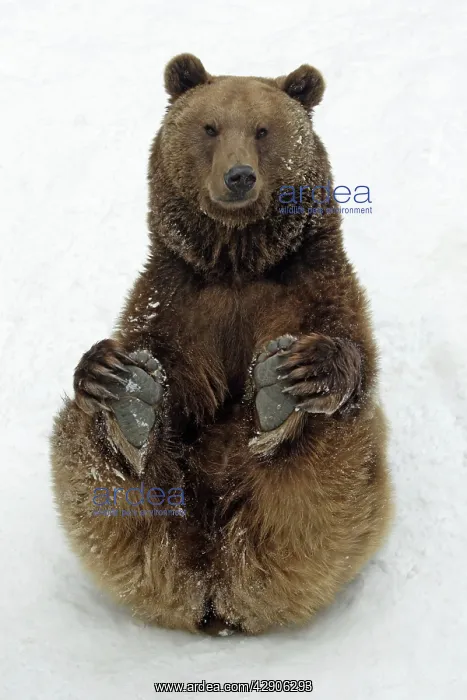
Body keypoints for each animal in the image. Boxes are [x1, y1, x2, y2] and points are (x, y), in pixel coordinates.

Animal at [50, 53, 393, 635]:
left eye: (263, 130)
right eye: (209, 127)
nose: (239, 176)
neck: (237, 261)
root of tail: (213, 584)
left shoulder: (310, 281)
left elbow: (353, 349)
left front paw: (311, 367)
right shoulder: (175, 298)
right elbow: (167, 369)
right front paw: (123, 379)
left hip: (326, 515)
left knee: (319, 472)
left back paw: (279, 393)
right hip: (162, 521)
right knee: (94, 455)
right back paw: (127, 403)